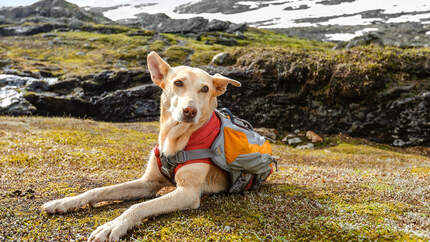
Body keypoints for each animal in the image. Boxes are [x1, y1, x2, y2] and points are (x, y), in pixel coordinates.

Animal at [42, 50, 244, 240]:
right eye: (178, 83)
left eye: (205, 88)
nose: (190, 111)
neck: (174, 137)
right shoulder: (148, 183)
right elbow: (99, 190)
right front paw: (64, 202)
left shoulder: (188, 192)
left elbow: (138, 206)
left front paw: (113, 226)